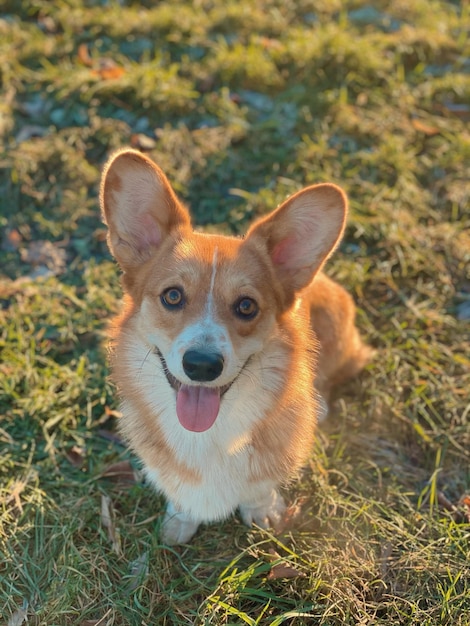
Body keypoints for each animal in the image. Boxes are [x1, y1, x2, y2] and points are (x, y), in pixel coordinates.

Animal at [101, 149, 372, 544]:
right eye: (172, 296)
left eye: (246, 306)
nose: (201, 365)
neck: (208, 435)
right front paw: (180, 520)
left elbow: (259, 489)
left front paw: (264, 513)